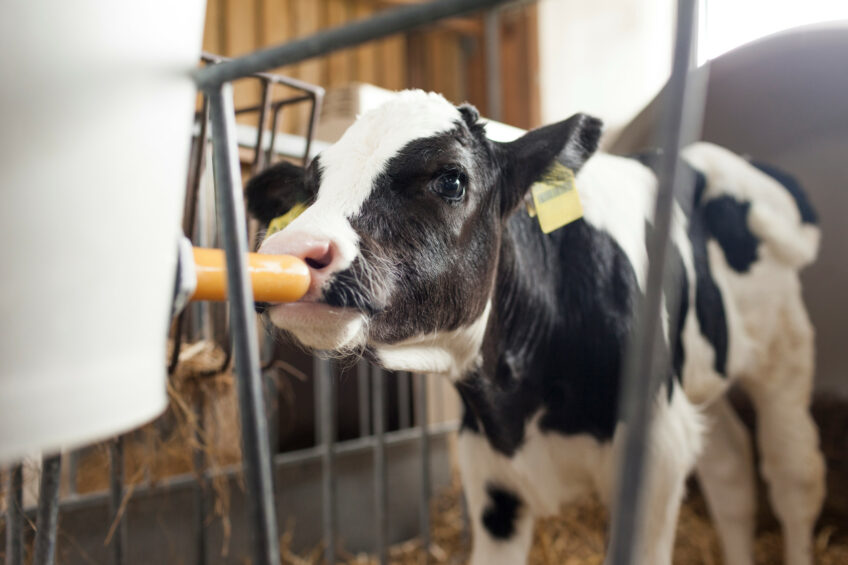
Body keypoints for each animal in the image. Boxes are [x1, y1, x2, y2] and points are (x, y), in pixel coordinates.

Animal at [246, 90, 824, 565]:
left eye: (451, 179)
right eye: (311, 190)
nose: (290, 250)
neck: (517, 403)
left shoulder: (654, 454)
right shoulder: (489, 472)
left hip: (784, 356)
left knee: (793, 477)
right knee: (731, 470)